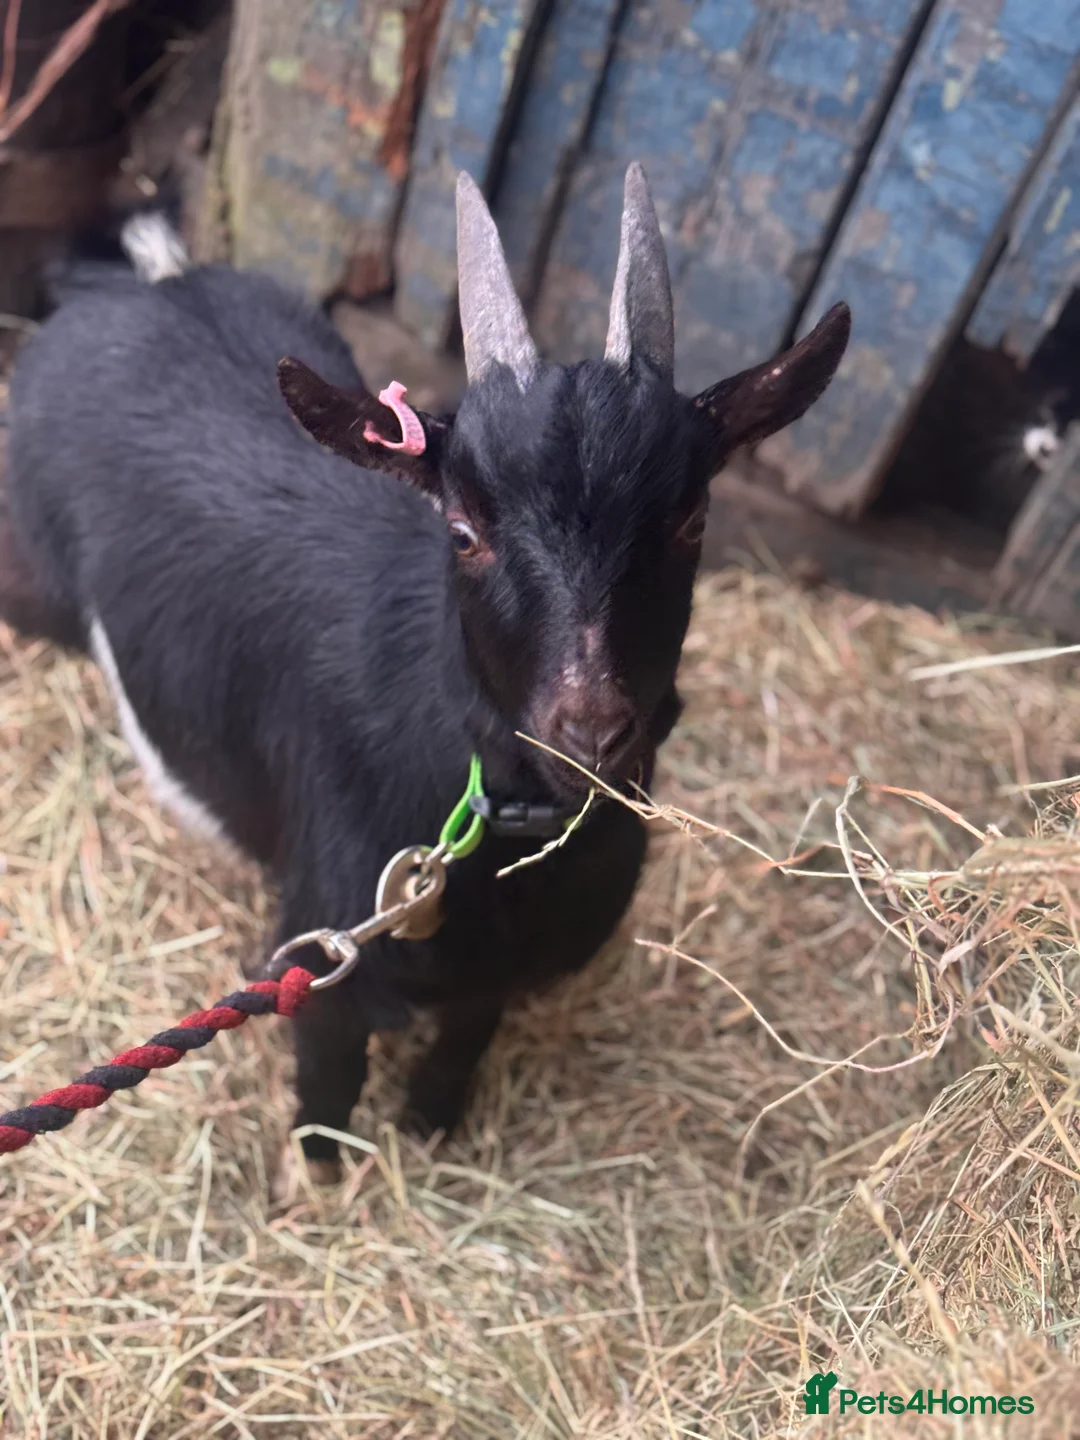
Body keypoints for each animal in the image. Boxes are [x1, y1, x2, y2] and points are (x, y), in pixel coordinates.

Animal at [0, 166, 850, 1179]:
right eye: (463, 529)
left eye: (691, 520)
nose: (590, 733)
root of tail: (139, 281)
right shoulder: (320, 960)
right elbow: (328, 1083)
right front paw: (321, 1169)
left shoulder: (490, 973)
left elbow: (465, 1038)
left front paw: (435, 1124)